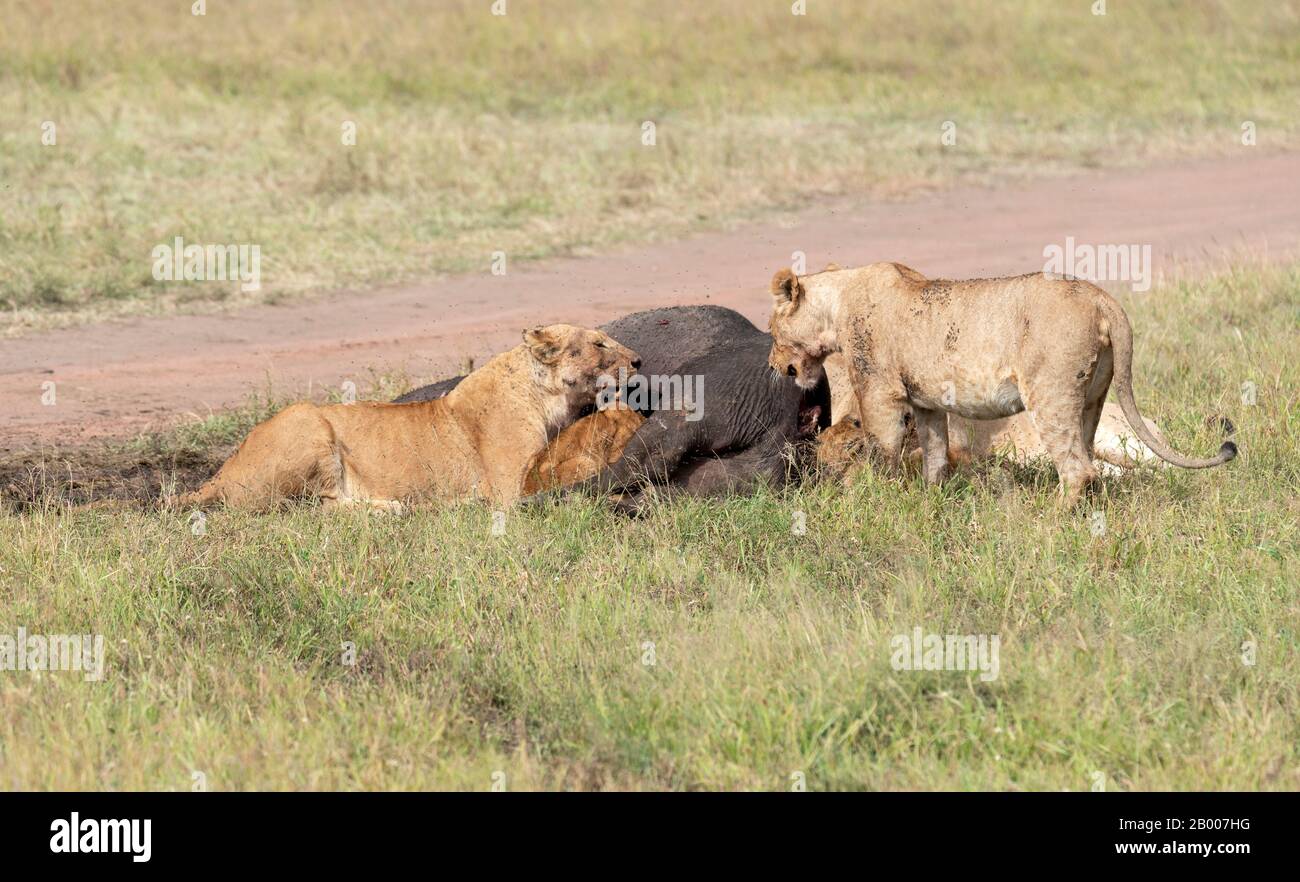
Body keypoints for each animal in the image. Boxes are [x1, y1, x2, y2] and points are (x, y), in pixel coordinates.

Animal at [182, 326, 639, 512]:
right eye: (599, 344)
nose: (637, 360)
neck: (547, 396)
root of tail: (219, 474)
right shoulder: (512, 487)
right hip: (308, 423)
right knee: (319, 509)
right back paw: (395, 508)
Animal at [769, 264, 1237, 504]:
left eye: (772, 329)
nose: (773, 363)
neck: (837, 303)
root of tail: (1101, 297)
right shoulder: (927, 403)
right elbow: (935, 455)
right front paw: (931, 500)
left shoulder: (880, 396)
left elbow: (878, 453)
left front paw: (871, 499)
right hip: (1093, 398)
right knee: (1093, 464)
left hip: (1050, 396)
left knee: (1078, 469)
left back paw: (1054, 524)